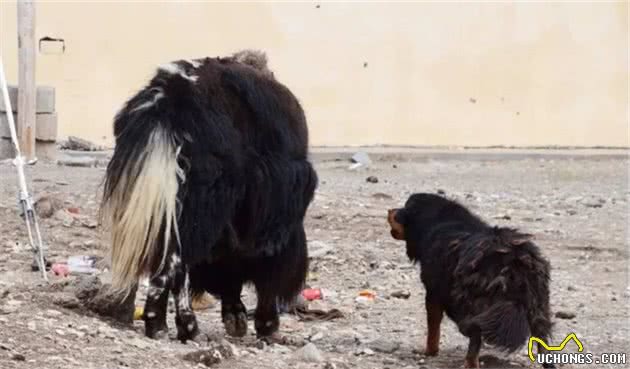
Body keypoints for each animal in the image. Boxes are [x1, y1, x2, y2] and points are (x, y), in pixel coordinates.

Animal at [388, 194, 556, 366]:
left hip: (474, 305)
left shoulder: (433, 293)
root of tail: (512, 259)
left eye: (404, 208)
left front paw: (429, 352)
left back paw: (470, 363)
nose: (390, 210)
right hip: (538, 309)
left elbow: (433, 328)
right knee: (543, 345)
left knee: (475, 337)